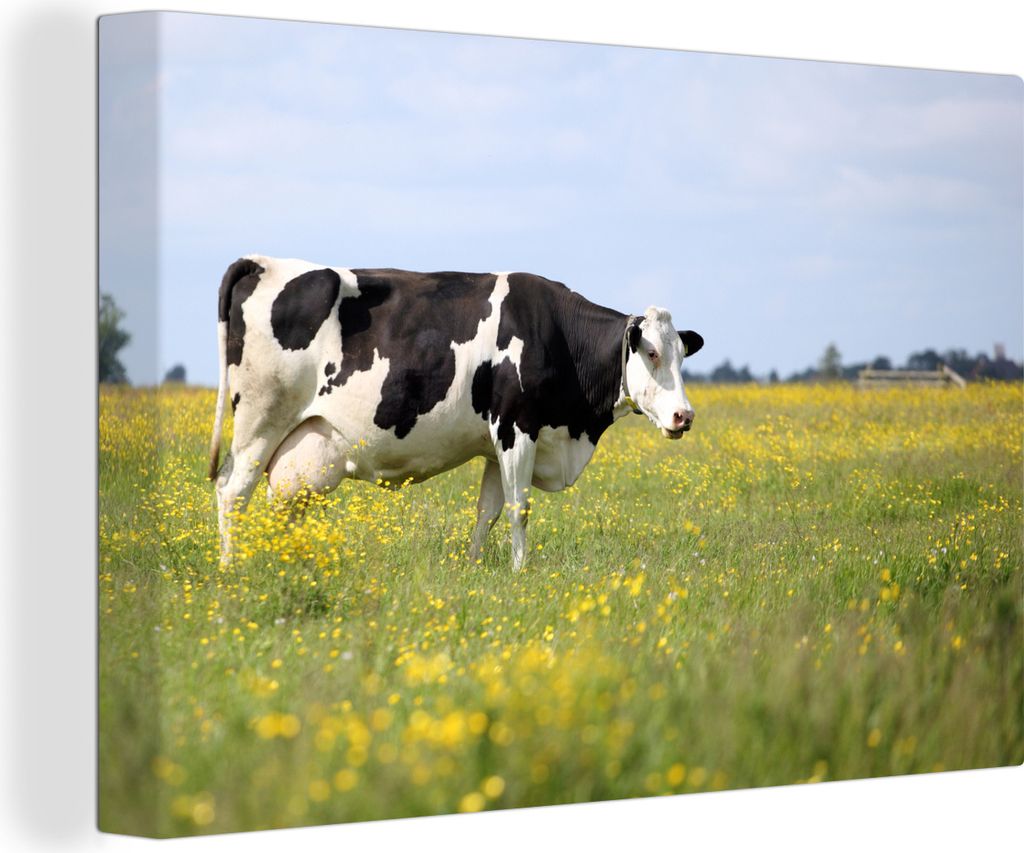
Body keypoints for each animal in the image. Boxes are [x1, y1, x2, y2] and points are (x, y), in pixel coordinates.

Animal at [208, 255, 704, 570]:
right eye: (652, 353)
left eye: (682, 354)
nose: (684, 416)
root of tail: (262, 261)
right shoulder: (518, 427)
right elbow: (519, 509)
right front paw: (520, 572)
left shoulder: (496, 444)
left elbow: (488, 512)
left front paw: (473, 566)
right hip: (260, 420)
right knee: (232, 492)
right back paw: (231, 569)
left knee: (286, 505)